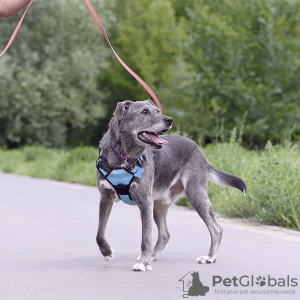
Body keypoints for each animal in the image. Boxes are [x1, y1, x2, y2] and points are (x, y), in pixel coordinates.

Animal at [95, 99, 246, 272]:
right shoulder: (105, 197)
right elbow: (99, 232)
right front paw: (107, 252)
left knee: (216, 228)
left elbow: (146, 236)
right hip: (158, 205)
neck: (124, 158)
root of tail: (200, 152)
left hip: (195, 195)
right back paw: (153, 256)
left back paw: (210, 257)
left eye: (157, 111)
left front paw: (143, 263)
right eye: (144, 112)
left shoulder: (144, 201)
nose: (169, 120)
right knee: (165, 234)